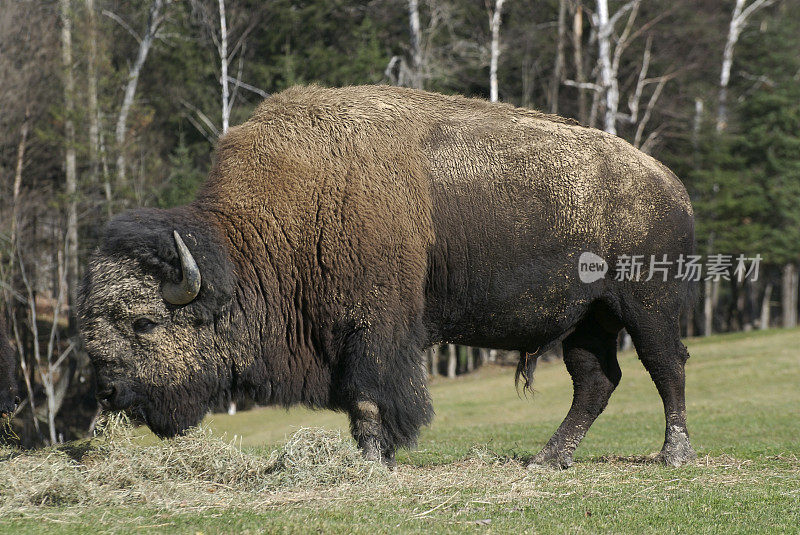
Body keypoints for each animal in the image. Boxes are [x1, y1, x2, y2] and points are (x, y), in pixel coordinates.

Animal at [78, 85, 696, 468]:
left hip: (646, 303)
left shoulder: (374, 328)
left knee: (666, 365)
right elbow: (358, 402)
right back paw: (547, 459)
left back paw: (673, 456)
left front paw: (375, 460)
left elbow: (371, 396)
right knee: (596, 380)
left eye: (143, 323)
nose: (108, 391)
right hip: (588, 319)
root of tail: (667, 182)